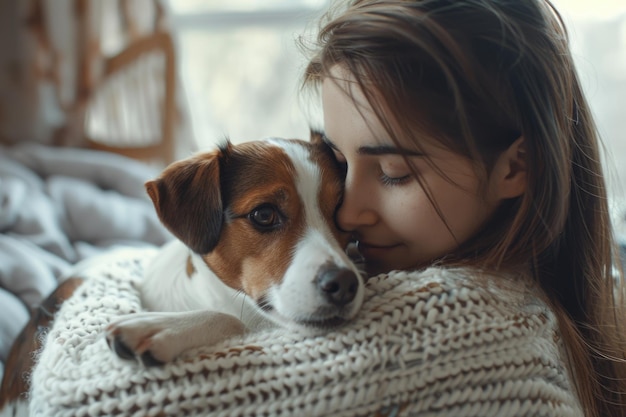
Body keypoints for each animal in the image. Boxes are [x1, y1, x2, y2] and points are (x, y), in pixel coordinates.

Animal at [104, 134, 364, 364]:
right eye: (264, 214)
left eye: (340, 212)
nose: (344, 285)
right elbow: (232, 320)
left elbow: (233, 321)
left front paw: (165, 326)